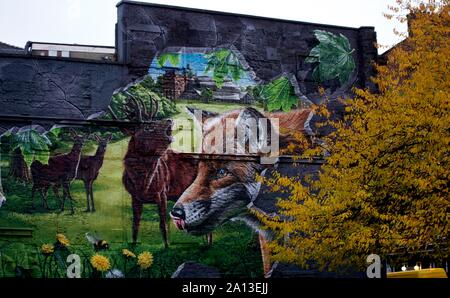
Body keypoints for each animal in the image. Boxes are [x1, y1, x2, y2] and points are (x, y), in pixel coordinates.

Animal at [109, 92, 197, 248]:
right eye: (147, 128)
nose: (169, 120)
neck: (143, 184)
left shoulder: (162, 193)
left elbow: (163, 224)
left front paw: (167, 246)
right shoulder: (134, 197)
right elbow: (135, 224)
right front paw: (133, 244)